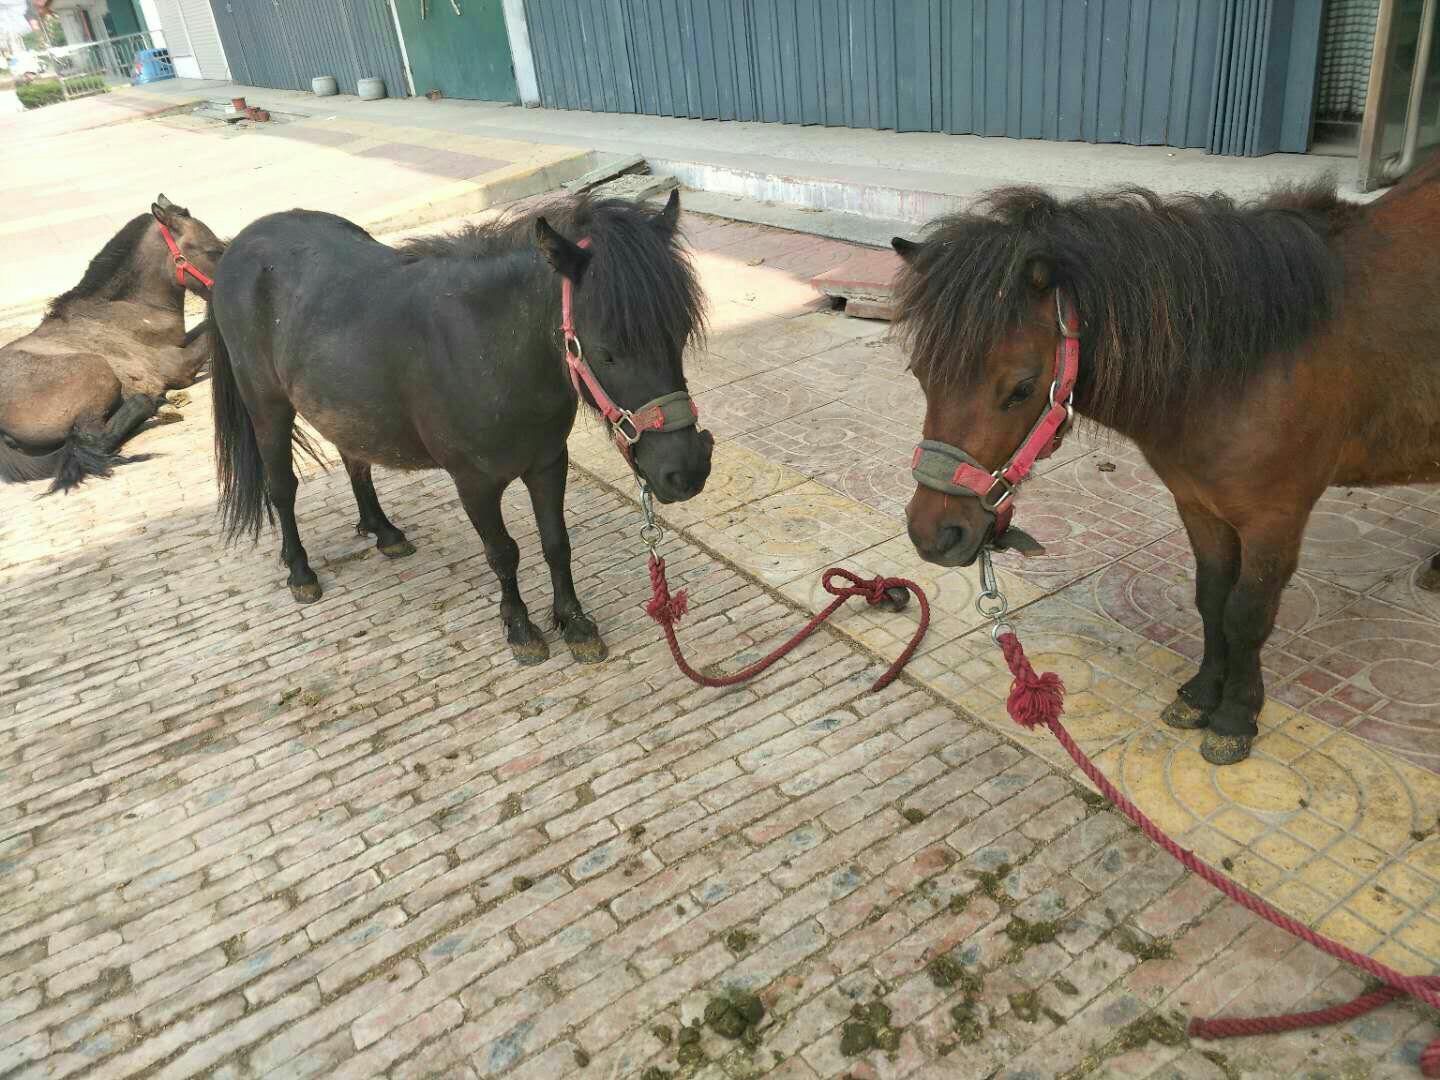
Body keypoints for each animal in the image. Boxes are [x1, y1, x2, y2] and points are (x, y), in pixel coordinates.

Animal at [0, 195, 222, 493]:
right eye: (212, 251)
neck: (127, 309)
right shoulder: (178, 367)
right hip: (96, 370)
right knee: (92, 439)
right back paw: (153, 404)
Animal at [208, 190, 713, 667]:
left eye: (678, 334)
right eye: (607, 351)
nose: (686, 471)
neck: (488, 347)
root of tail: (237, 247)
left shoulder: (549, 463)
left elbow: (556, 542)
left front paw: (575, 623)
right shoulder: (474, 483)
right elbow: (503, 552)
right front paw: (521, 629)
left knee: (356, 461)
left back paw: (384, 532)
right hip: (267, 408)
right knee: (281, 487)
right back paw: (300, 572)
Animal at [891, 154, 1440, 766]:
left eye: (1022, 388)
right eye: (920, 373)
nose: (933, 535)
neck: (1251, 358)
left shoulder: (1275, 520)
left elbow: (1247, 613)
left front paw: (1235, 716)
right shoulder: (1199, 506)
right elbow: (1211, 598)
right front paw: (1201, 694)